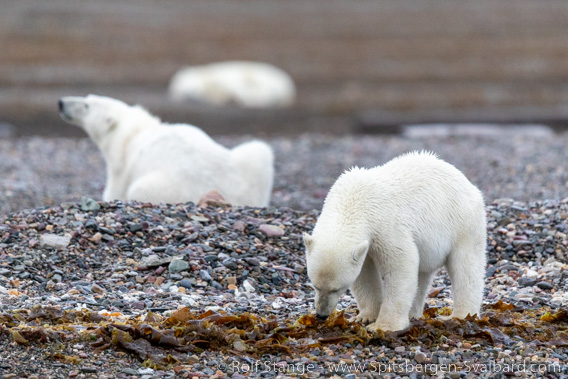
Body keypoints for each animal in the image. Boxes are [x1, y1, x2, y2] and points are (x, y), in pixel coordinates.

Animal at [58, 95, 274, 208]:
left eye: (86, 105)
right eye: (87, 98)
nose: (61, 102)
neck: (134, 131)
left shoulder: (122, 165)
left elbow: (114, 191)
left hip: (168, 185)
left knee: (139, 188)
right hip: (251, 161)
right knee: (259, 149)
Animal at [304, 151, 486, 332]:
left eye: (336, 288)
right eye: (315, 285)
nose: (321, 314)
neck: (354, 200)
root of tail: (468, 183)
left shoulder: (385, 225)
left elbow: (400, 264)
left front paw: (383, 326)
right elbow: (365, 274)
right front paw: (365, 317)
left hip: (463, 222)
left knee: (466, 267)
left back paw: (461, 315)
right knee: (421, 275)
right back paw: (413, 314)